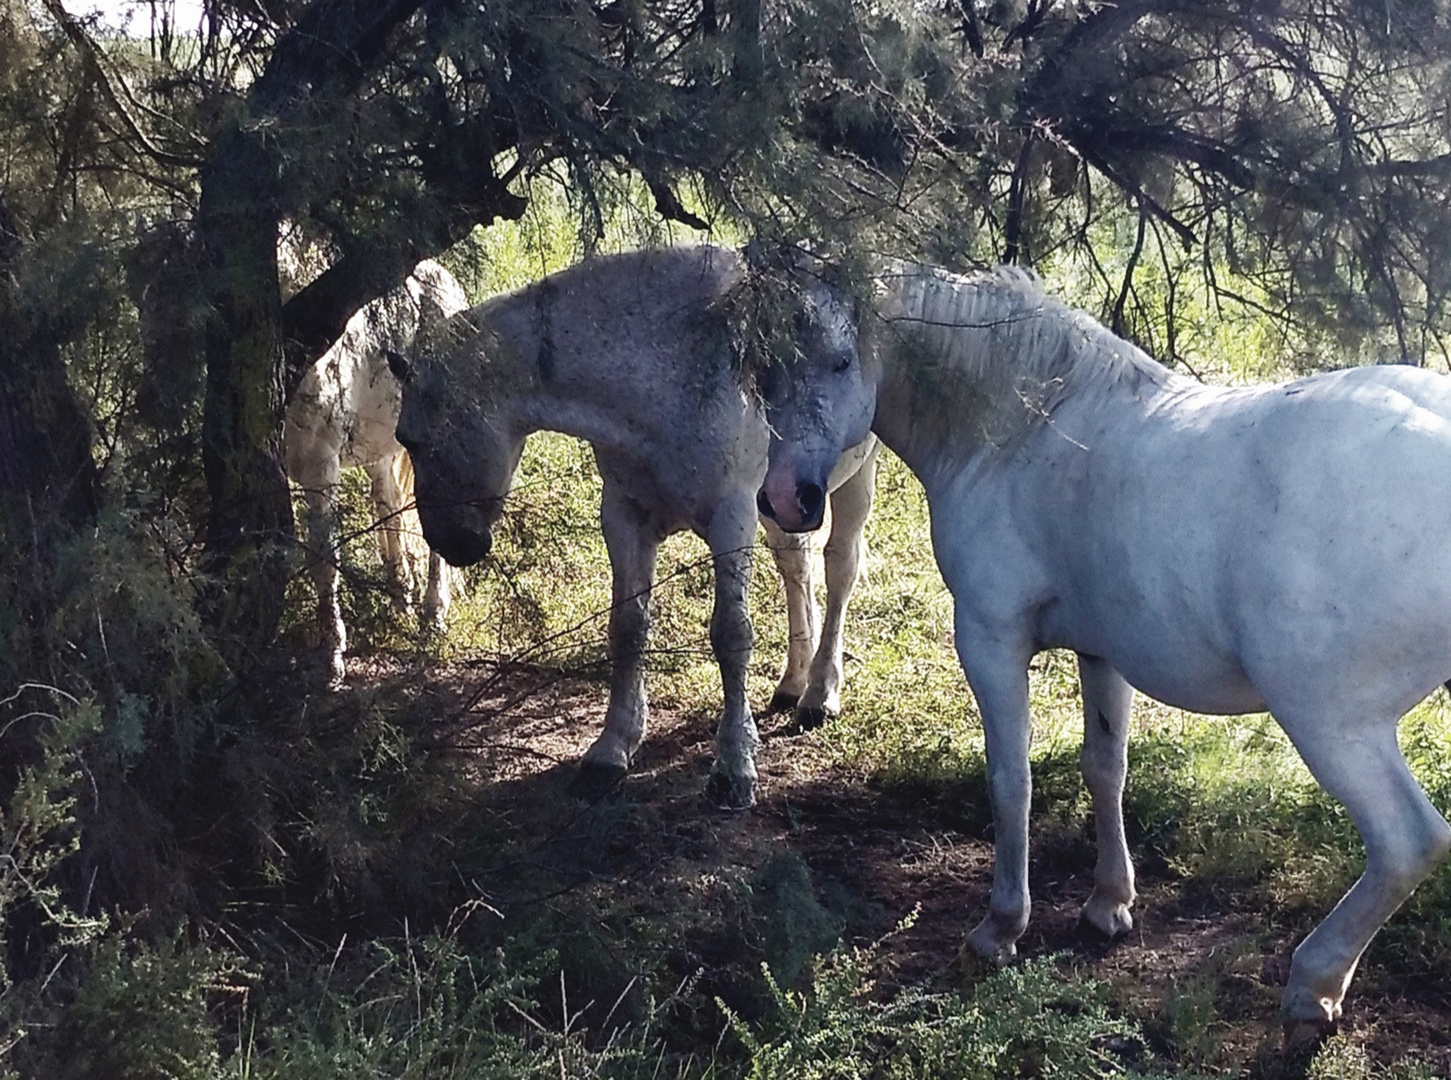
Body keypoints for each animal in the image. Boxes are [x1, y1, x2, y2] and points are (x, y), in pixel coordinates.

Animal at [281, 259, 464, 682]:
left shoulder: (320, 467)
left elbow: (324, 557)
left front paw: (332, 655)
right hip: (380, 444)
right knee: (387, 501)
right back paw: (400, 598)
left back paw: (433, 613)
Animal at [391, 242, 876, 801]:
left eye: (410, 439)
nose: (450, 544)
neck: (667, 365)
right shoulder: (624, 516)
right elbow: (627, 627)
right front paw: (613, 746)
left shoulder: (731, 518)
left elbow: (732, 634)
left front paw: (734, 766)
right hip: (782, 506)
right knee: (797, 571)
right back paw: (793, 681)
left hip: (853, 478)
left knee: (839, 572)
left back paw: (819, 693)